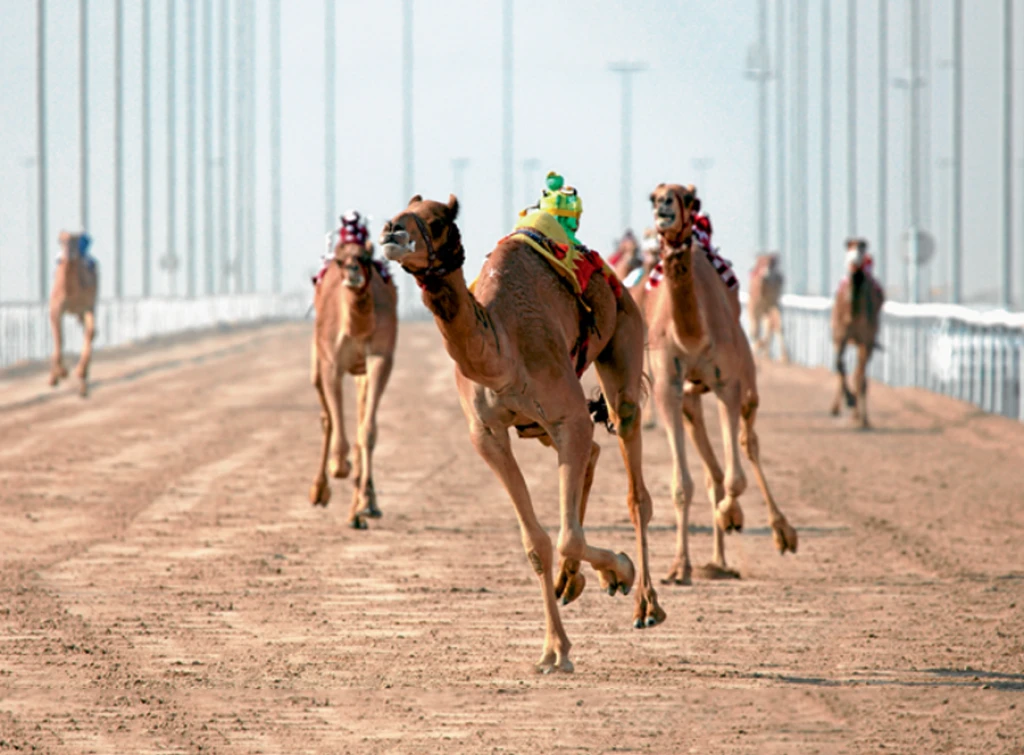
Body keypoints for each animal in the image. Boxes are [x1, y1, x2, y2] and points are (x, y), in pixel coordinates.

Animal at [49, 231, 99, 397]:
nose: (69, 255)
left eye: (76, 241)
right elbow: (59, 337)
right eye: (60, 241)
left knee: (90, 332)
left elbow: (90, 332)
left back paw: (82, 379)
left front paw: (73, 372)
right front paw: (58, 374)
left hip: (84, 310)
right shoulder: (56, 308)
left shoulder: (87, 306)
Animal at [309, 211, 398, 529]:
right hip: (317, 358)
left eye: (365, 257)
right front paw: (338, 465)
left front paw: (367, 505)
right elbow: (335, 422)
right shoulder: (330, 362)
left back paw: (358, 510)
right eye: (339, 260)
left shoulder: (381, 358)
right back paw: (319, 490)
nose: (352, 272)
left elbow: (367, 431)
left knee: (360, 419)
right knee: (325, 416)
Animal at [380, 194, 662, 674]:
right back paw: (573, 581)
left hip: (623, 332)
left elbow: (568, 536)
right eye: (398, 212)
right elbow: (537, 543)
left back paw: (645, 603)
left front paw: (621, 569)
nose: (390, 232)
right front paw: (554, 649)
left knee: (633, 479)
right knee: (592, 453)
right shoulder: (487, 434)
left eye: (438, 222)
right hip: (540, 425)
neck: (502, 354)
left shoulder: (567, 415)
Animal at [645, 183, 797, 585]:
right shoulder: (667, 387)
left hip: (747, 381)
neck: (692, 336)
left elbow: (736, 479)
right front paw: (678, 568)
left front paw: (733, 515)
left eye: (687, 197)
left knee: (748, 443)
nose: (664, 207)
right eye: (653, 196)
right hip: (691, 399)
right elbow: (682, 484)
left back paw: (781, 532)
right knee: (711, 467)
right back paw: (715, 561)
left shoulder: (728, 383)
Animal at [830, 238, 885, 429]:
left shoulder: (866, 341)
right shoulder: (841, 336)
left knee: (859, 374)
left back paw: (859, 416)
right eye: (848, 248)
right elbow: (839, 364)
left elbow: (860, 377)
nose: (854, 264)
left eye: (861, 249)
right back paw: (837, 408)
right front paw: (849, 399)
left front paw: (863, 418)